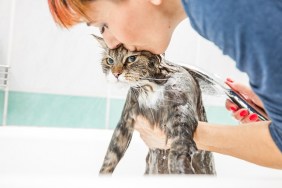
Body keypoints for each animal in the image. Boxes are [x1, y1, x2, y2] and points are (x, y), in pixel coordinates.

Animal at [94, 35, 216, 175]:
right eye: (110, 60)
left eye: (131, 58)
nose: (116, 74)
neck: (149, 87)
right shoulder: (126, 119)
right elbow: (111, 156)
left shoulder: (180, 108)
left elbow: (180, 144)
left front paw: (179, 166)